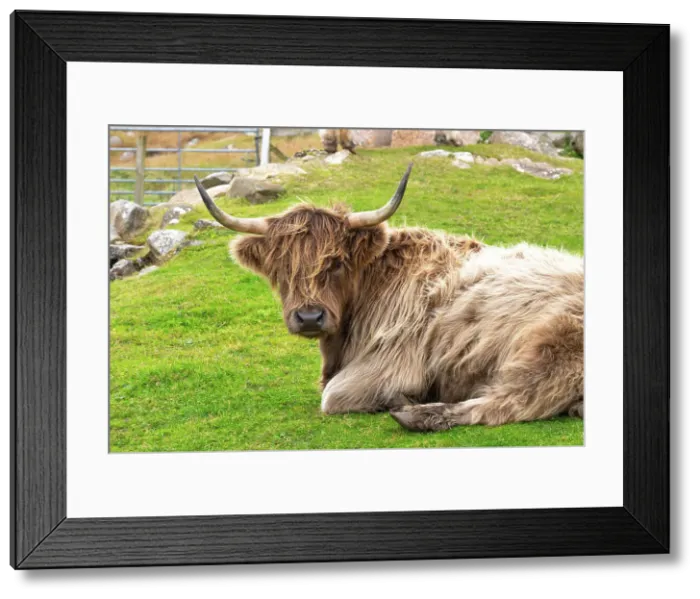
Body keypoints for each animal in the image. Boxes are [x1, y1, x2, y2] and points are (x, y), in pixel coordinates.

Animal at [193, 164, 584, 432]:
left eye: (337, 262)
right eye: (281, 266)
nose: (309, 317)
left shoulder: (390, 362)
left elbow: (331, 396)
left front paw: (398, 397)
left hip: (550, 346)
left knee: (510, 401)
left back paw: (416, 413)